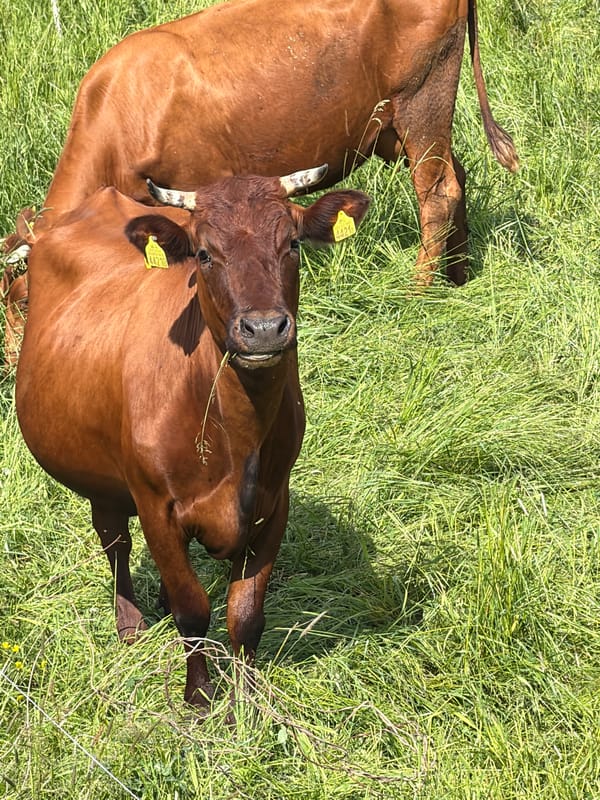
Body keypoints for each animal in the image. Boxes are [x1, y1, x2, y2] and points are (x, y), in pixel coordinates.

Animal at [2, 0, 518, 362]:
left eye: (25, 302)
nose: (13, 368)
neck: (127, 107)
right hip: (395, 125)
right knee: (456, 177)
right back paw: (459, 277)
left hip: (422, 100)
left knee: (436, 194)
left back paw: (418, 292)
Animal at [15, 168, 370, 709]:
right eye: (204, 253)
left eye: (291, 243)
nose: (264, 328)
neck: (238, 433)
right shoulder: (157, 507)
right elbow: (193, 610)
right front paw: (200, 697)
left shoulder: (274, 504)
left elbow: (245, 614)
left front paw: (247, 698)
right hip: (102, 478)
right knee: (115, 541)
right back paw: (130, 622)